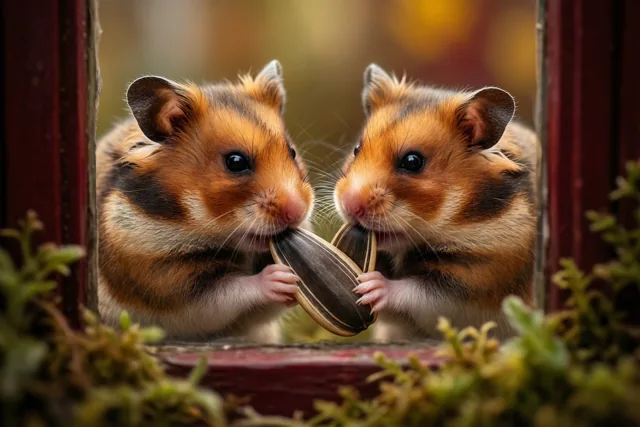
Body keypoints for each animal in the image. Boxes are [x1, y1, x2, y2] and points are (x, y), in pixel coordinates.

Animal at [97, 60, 314, 344]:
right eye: (235, 162)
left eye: (292, 152)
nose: (299, 211)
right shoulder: (167, 284)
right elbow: (227, 293)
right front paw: (280, 278)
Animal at [333, 64, 539, 341]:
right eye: (356, 150)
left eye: (412, 162)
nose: (349, 205)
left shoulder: (475, 283)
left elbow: (417, 293)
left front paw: (370, 286)